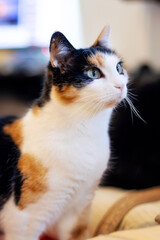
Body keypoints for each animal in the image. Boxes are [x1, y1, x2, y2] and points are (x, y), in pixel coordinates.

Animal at [0, 26, 127, 240]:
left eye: (119, 68)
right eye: (93, 73)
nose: (121, 85)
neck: (87, 131)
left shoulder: (78, 210)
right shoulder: (23, 220)